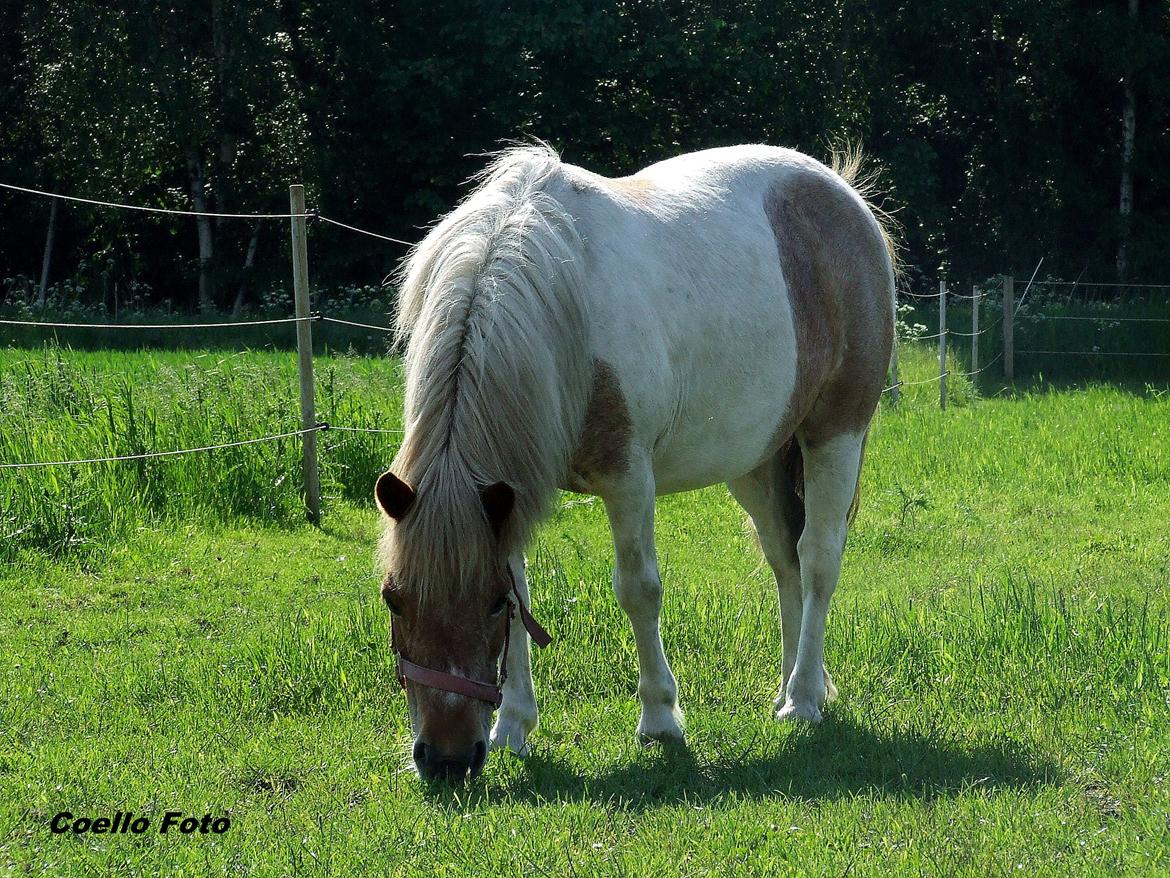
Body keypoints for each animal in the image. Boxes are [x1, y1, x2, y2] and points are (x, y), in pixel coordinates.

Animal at [374, 144, 893, 782]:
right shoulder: (508, 496)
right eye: (393, 598)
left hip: (834, 436)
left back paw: (803, 699)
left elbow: (638, 589)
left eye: (488, 604)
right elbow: (526, 595)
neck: (557, 308)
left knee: (817, 560)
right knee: (784, 561)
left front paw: (660, 719)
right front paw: (513, 727)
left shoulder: (627, 480)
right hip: (759, 460)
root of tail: (845, 196)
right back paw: (793, 687)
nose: (445, 760)